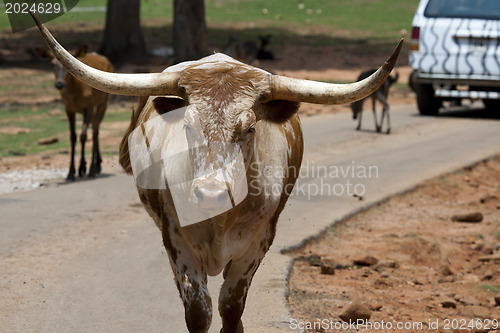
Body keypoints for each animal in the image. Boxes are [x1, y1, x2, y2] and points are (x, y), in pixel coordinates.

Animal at [32, 12, 402, 332]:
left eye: (250, 128)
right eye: (188, 127)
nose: (211, 193)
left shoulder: (258, 242)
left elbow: (231, 308)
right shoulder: (176, 240)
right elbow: (199, 311)